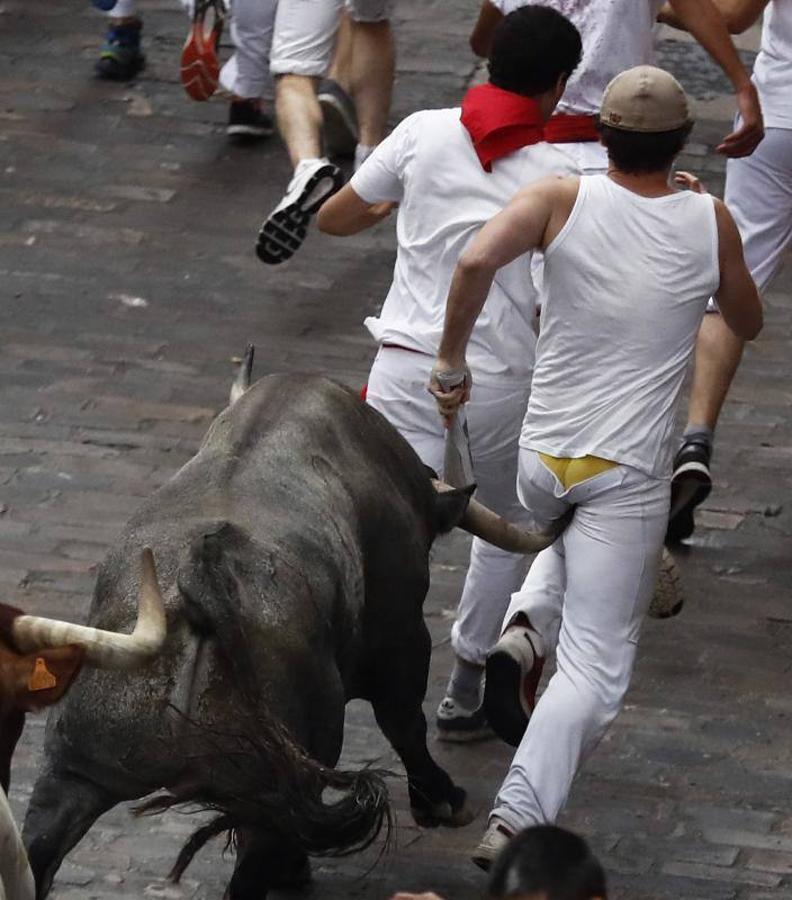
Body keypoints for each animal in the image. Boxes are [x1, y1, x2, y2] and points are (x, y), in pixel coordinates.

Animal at [23, 370, 508, 896]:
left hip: (74, 768)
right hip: (273, 791)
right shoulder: (401, 627)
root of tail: (199, 577)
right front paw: (442, 800)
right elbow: (404, 721)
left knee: (38, 849)